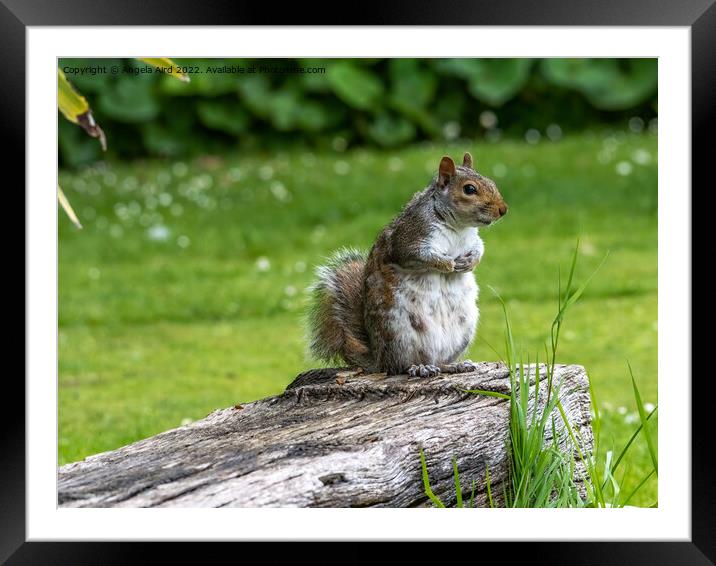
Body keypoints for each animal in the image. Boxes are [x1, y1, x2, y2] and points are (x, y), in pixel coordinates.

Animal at [304, 153, 506, 380]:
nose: (503, 210)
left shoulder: (472, 239)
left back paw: (453, 365)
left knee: (439, 361)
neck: (458, 227)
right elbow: (420, 255)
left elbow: (479, 248)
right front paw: (448, 264)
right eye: (469, 189)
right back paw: (419, 368)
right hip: (398, 333)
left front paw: (470, 262)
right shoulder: (408, 239)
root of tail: (379, 360)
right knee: (400, 366)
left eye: (491, 181)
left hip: (463, 331)